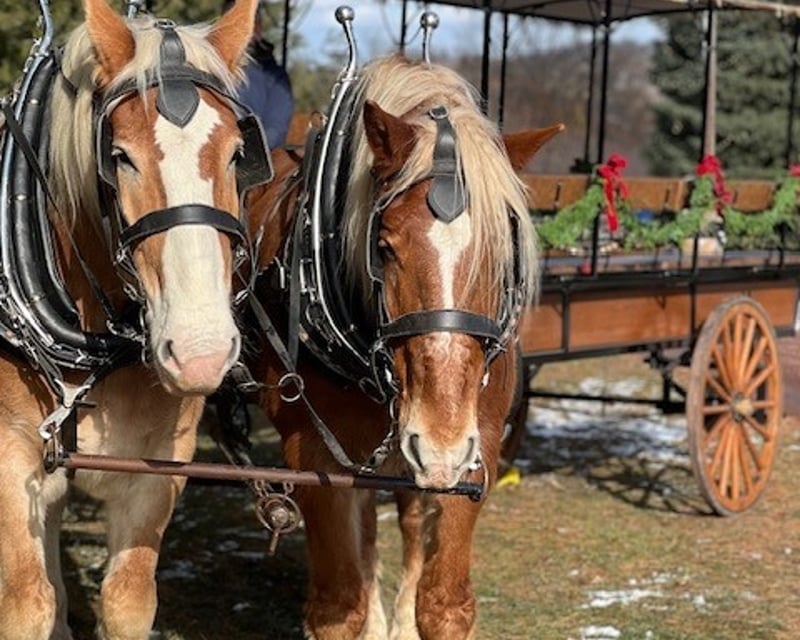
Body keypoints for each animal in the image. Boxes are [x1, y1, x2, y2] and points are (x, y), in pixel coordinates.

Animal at [0, 0, 266, 637]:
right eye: (119, 157)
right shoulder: (9, 457)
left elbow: (128, 602)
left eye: (237, 155)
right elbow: (26, 605)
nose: (200, 354)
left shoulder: (162, 460)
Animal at [244, 53, 562, 639]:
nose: (439, 440)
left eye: (501, 254)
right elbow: (338, 606)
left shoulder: (477, 444)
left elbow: (445, 604)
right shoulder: (313, 452)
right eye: (385, 246)